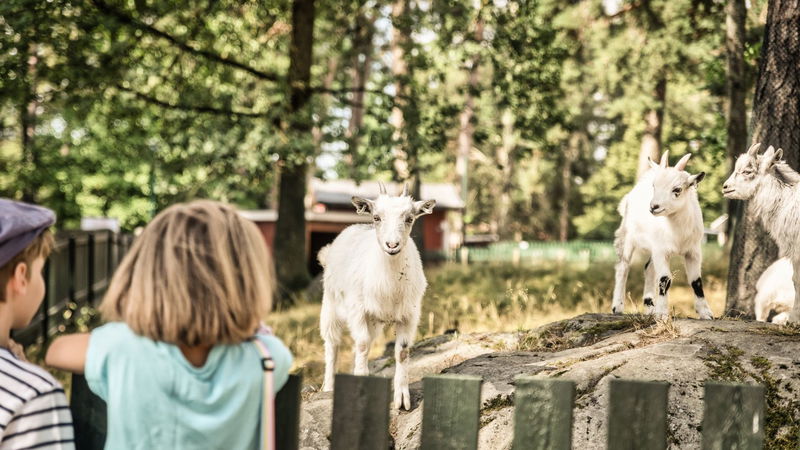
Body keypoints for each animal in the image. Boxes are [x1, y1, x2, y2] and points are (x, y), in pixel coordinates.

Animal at [318, 181, 434, 410]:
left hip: (374, 321)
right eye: (376, 217)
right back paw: (328, 386)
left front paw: (402, 398)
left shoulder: (409, 314)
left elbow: (402, 352)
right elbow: (362, 345)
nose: (392, 245)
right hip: (330, 306)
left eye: (410, 218)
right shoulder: (357, 310)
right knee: (332, 344)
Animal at [612, 153, 712, 318]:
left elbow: (696, 281)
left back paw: (650, 306)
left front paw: (706, 313)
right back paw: (617, 307)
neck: (677, 233)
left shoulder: (693, 251)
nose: (653, 207)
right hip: (627, 235)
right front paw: (663, 314)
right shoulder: (661, 250)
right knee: (623, 267)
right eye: (654, 186)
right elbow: (665, 279)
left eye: (677, 189)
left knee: (648, 268)